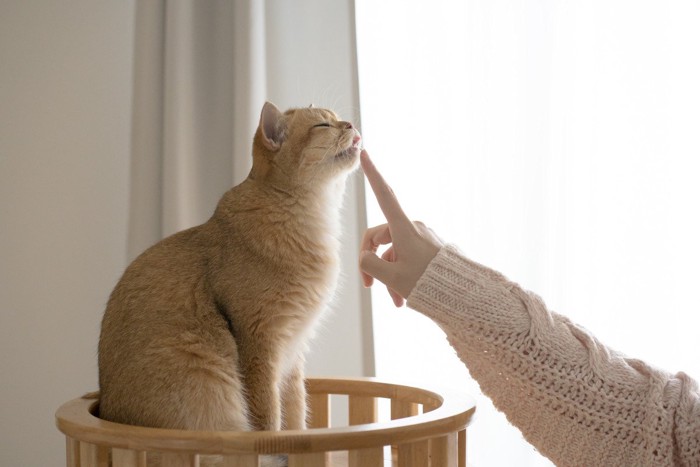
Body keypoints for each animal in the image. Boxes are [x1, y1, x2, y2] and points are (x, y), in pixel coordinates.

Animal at [97, 100, 360, 444]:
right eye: (323, 126)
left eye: (337, 119)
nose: (352, 125)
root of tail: (106, 414)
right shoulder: (260, 341)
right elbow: (267, 414)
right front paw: (270, 444)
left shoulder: (293, 353)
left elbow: (295, 411)